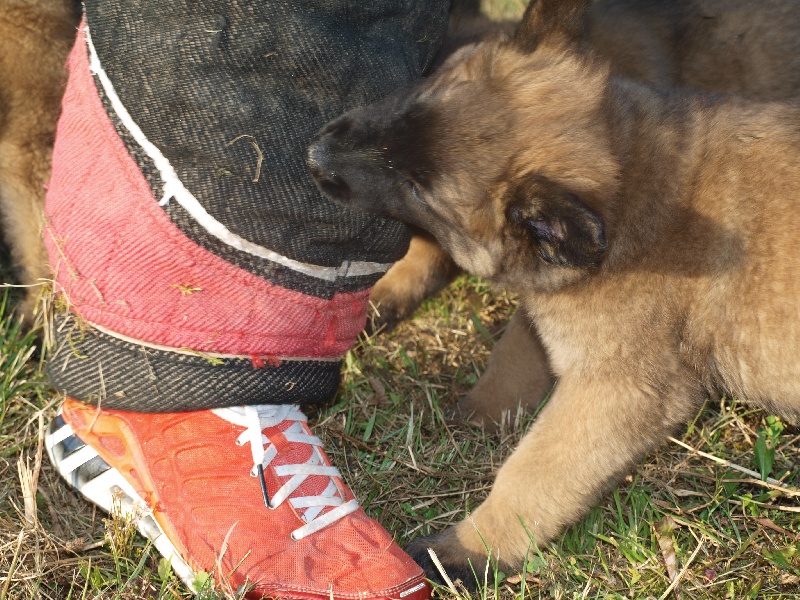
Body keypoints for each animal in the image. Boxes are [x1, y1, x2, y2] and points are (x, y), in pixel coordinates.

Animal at [310, 0, 800, 584]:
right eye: (419, 95)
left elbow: (534, 473)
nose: (313, 154)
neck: (634, 177)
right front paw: (480, 411)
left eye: (417, 189)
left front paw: (468, 549)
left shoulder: (616, 391)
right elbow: (517, 350)